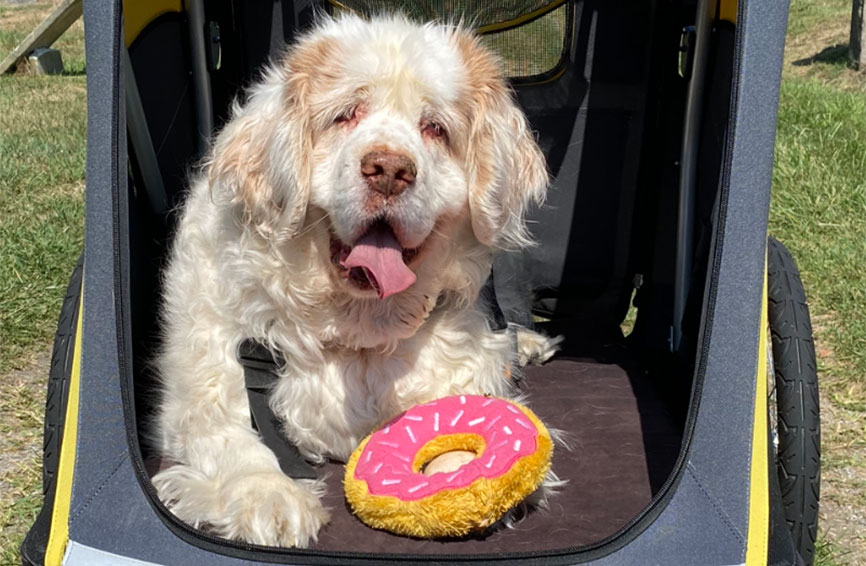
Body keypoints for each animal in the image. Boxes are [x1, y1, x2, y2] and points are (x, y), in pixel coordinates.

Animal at [154, 14, 560, 552]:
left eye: (435, 128)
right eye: (345, 115)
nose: (389, 169)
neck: (356, 328)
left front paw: (469, 484)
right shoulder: (206, 390)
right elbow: (232, 441)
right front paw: (270, 496)